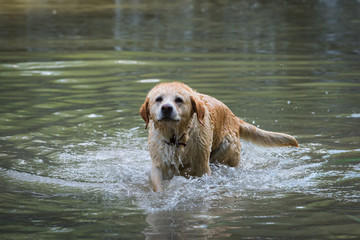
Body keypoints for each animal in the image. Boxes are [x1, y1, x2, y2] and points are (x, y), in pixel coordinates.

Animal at [141, 82, 298, 191]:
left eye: (179, 99)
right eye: (159, 99)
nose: (166, 107)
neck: (175, 138)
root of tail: (234, 117)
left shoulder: (202, 167)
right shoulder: (158, 165)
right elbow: (157, 184)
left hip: (225, 151)